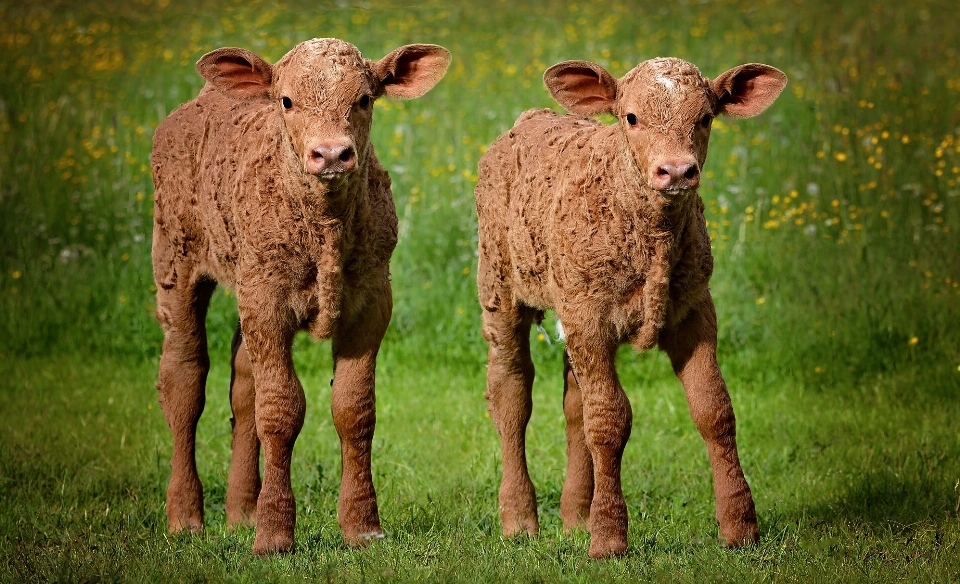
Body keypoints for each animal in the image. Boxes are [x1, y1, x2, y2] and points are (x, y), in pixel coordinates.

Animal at [150, 38, 450, 556]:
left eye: (365, 99)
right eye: (287, 101)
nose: (330, 154)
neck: (324, 229)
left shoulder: (371, 301)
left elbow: (353, 408)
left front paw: (361, 526)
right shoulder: (267, 301)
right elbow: (281, 410)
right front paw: (274, 533)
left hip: (245, 285)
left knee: (243, 382)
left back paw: (242, 511)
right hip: (176, 262)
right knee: (185, 378)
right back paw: (186, 516)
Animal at [474, 57, 788, 560]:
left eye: (706, 117)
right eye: (631, 117)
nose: (676, 171)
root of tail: (531, 118)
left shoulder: (694, 311)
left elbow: (714, 410)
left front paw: (740, 528)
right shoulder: (590, 318)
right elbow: (610, 420)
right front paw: (608, 537)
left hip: (570, 308)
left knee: (574, 404)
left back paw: (576, 517)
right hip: (500, 291)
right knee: (511, 394)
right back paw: (520, 520)